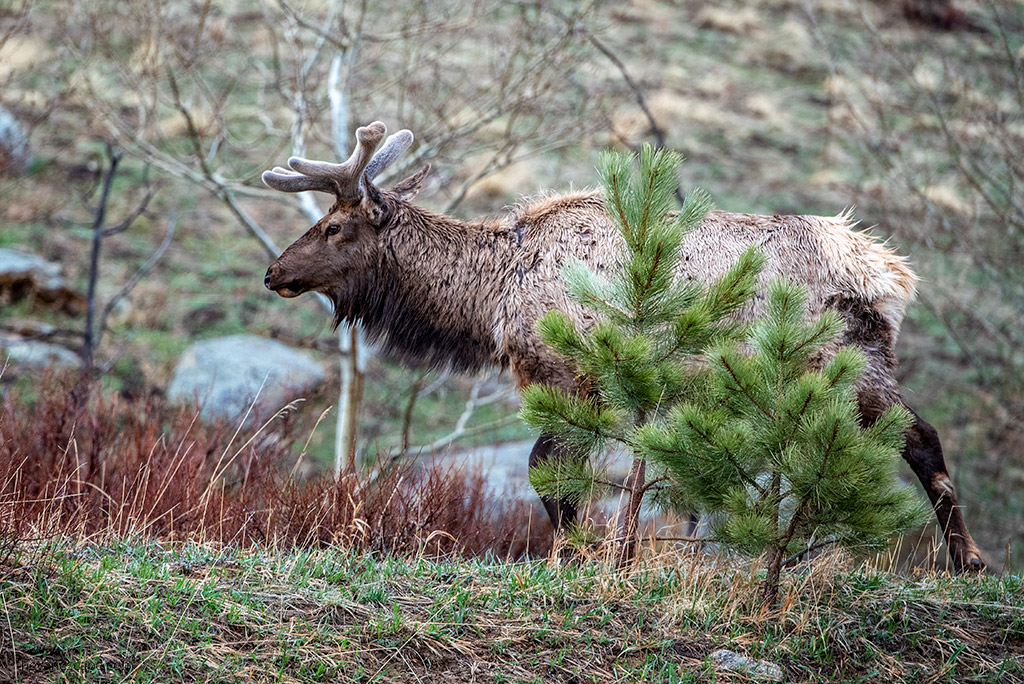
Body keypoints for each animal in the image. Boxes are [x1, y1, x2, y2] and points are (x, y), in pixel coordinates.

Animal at [262, 121, 984, 571]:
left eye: (332, 227)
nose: (273, 272)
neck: (493, 299)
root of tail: (893, 275)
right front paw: (602, 554)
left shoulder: (569, 374)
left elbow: (549, 473)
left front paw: (577, 555)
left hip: (851, 366)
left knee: (922, 436)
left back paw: (968, 559)